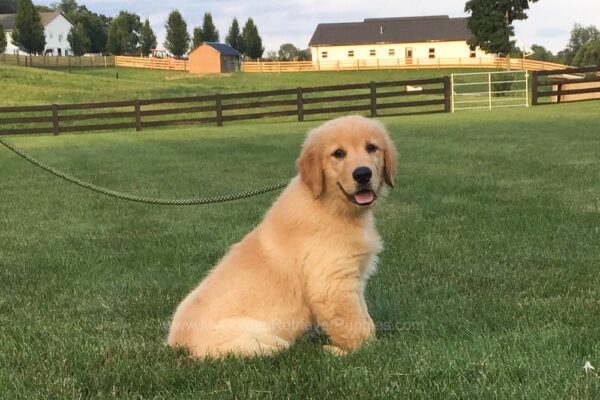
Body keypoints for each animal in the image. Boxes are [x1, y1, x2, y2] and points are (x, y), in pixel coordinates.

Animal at [166, 114, 396, 358]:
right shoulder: (332, 283)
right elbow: (353, 324)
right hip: (261, 341)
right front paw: (356, 350)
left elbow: (365, 317)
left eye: (371, 148)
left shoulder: (354, 278)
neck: (330, 206)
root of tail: (176, 343)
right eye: (338, 153)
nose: (363, 174)